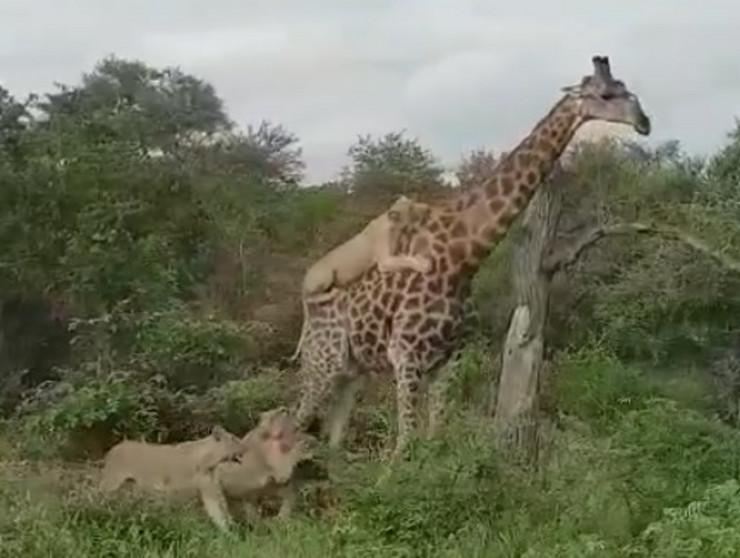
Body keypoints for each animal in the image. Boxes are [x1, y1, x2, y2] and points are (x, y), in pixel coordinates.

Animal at [292, 57, 652, 460]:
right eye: (605, 95)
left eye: (625, 87)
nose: (644, 122)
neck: (462, 258)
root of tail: (307, 315)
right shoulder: (407, 356)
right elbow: (405, 447)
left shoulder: (449, 359)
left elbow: (434, 439)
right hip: (322, 362)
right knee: (295, 423)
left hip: (351, 371)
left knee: (333, 441)